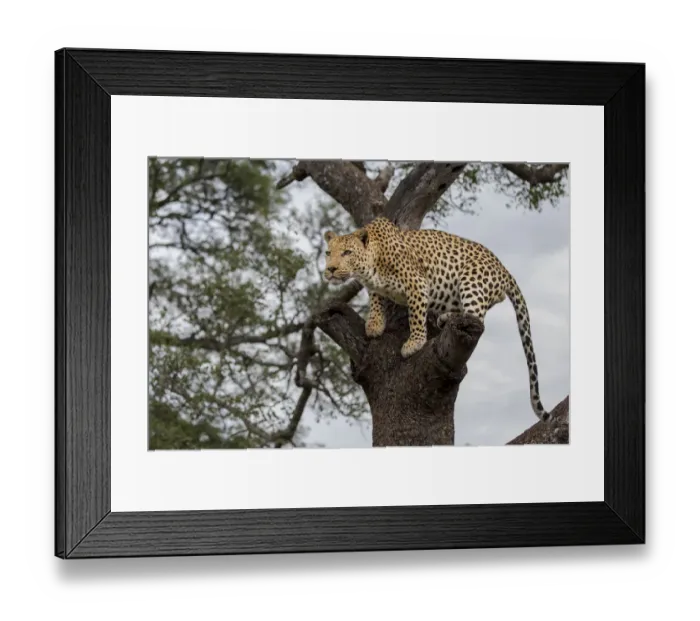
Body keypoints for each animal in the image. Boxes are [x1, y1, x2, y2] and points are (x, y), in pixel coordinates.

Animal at [323, 216, 552, 423]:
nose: (330, 269)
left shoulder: (417, 284)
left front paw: (414, 343)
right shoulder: (378, 287)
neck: (372, 265)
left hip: (471, 279)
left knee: (477, 318)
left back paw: (449, 319)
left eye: (347, 252)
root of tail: (504, 269)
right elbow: (376, 301)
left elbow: (415, 315)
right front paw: (374, 324)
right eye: (328, 253)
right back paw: (446, 317)